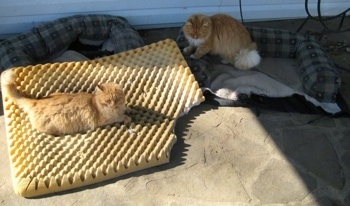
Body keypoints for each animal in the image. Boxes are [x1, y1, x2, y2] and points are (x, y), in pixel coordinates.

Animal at [1, 69, 131, 136]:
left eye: (117, 99)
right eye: (108, 101)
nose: (114, 105)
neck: (96, 103)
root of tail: (35, 102)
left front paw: (127, 110)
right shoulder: (105, 120)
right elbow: (120, 117)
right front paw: (126, 117)